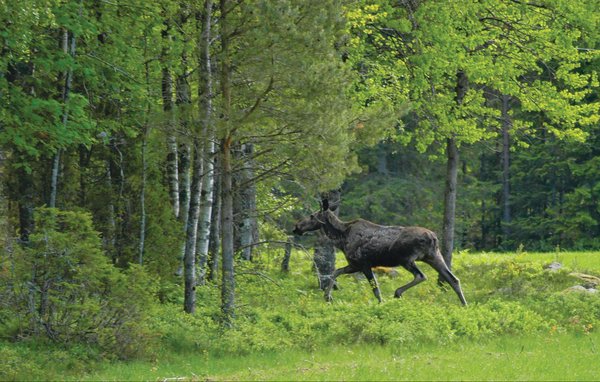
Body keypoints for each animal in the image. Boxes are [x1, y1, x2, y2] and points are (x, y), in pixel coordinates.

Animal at [292, 200, 466, 304]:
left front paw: (381, 304)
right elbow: (336, 271)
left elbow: (375, 289)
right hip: (434, 256)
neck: (341, 237)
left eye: (311, 215)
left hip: (407, 259)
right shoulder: (354, 264)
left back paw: (398, 292)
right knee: (453, 279)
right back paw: (464, 305)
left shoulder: (364, 264)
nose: (296, 227)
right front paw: (327, 297)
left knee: (421, 275)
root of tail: (433, 237)